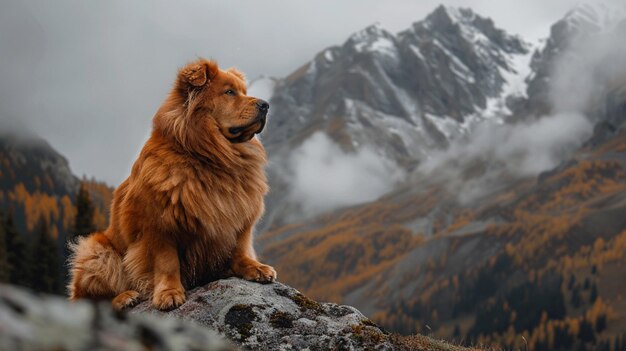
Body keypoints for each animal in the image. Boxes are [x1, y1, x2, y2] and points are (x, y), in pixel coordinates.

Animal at [67, 59, 276, 312]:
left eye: (244, 92)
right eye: (229, 92)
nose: (266, 105)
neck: (210, 158)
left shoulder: (240, 216)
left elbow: (240, 247)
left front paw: (254, 267)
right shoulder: (159, 225)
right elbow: (167, 263)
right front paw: (169, 292)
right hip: (97, 252)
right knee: (90, 300)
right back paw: (125, 297)